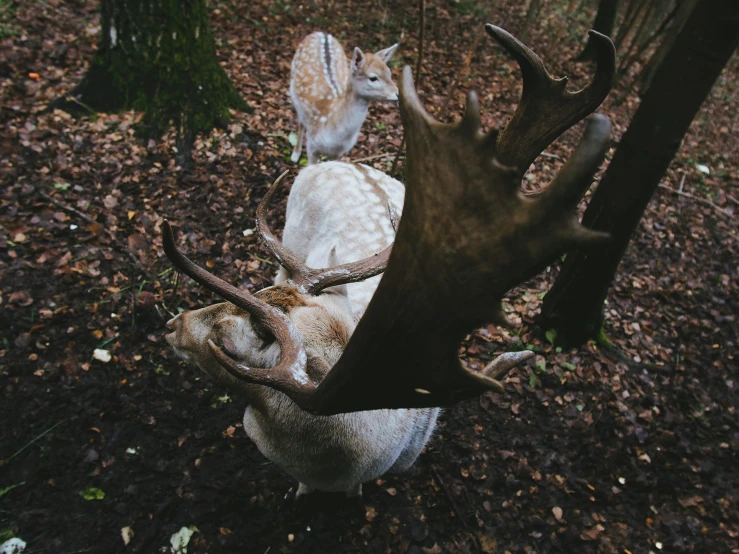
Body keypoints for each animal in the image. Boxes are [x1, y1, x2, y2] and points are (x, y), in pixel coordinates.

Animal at [288, 31, 398, 164]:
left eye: (389, 74)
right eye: (373, 78)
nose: (397, 93)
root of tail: (320, 33)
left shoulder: (339, 152)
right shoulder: (312, 145)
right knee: (301, 121)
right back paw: (295, 154)